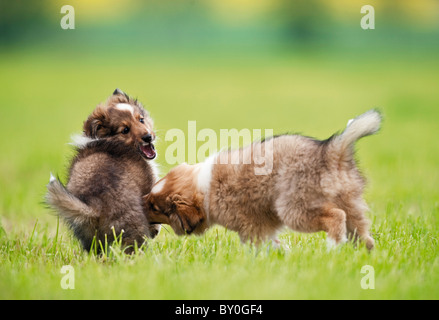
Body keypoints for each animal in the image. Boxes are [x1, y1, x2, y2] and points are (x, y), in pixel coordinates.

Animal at [46, 89, 162, 254]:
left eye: (141, 120)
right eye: (125, 130)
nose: (148, 137)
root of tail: (94, 205)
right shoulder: (149, 184)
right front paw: (155, 229)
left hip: (90, 236)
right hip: (133, 228)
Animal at [144, 110, 382, 250]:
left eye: (156, 208)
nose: (139, 204)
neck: (204, 188)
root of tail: (331, 151)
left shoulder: (251, 227)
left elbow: (256, 246)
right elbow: (274, 243)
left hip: (294, 208)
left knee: (335, 216)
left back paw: (333, 248)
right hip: (351, 203)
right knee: (362, 233)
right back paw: (361, 253)